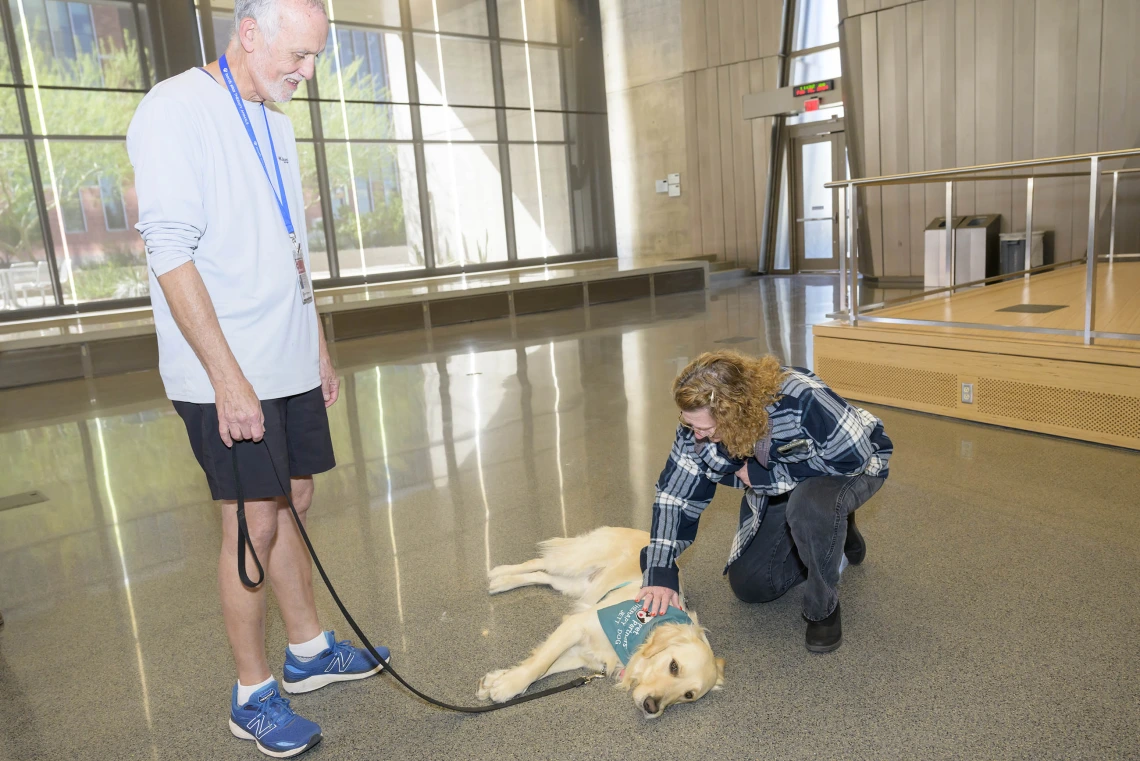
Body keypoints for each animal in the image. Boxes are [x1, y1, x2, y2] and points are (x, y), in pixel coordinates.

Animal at [476, 526, 725, 715]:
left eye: (688, 695)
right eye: (674, 666)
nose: (652, 707)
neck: (637, 639)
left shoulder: (584, 655)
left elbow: (544, 665)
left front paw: (497, 680)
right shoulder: (576, 625)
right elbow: (540, 665)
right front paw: (508, 686)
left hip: (574, 584)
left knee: (541, 576)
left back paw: (502, 582)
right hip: (574, 562)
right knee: (537, 562)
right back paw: (498, 572)